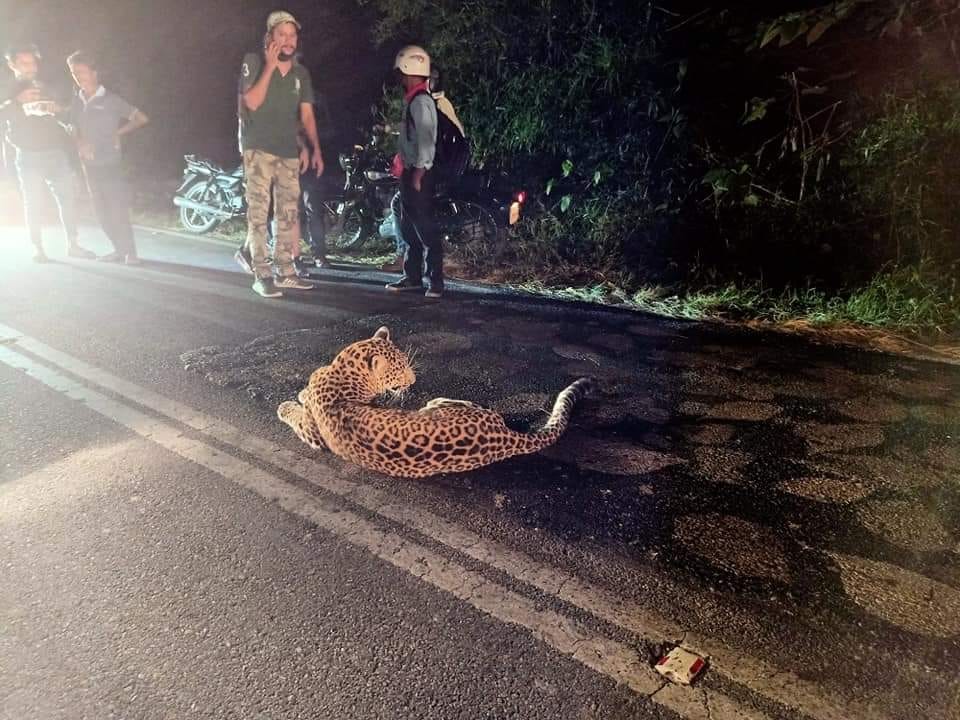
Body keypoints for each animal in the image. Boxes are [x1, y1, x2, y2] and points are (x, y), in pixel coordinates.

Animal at [277, 326, 593, 478]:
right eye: (399, 369)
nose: (413, 380)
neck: (341, 372)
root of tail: (504, 436)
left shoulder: (315, 434)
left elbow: (296, 412)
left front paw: (291, 401)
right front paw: (301, 394)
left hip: (446, 408)